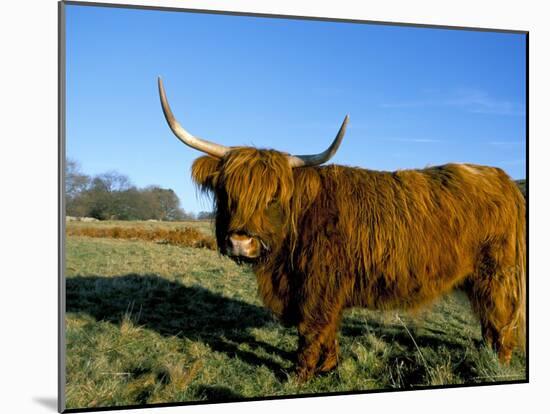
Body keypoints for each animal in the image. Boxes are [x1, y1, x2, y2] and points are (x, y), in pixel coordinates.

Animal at [158, 77, 528, 382]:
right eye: (226, 192)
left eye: (273, 197)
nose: (240, 242)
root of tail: (503, 179)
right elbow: (328, 331)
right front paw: (327, 367)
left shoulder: (318, 288)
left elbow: (311, 331)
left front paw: (299, 375)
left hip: (497, 275)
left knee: (501, 320)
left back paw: (497, 363)